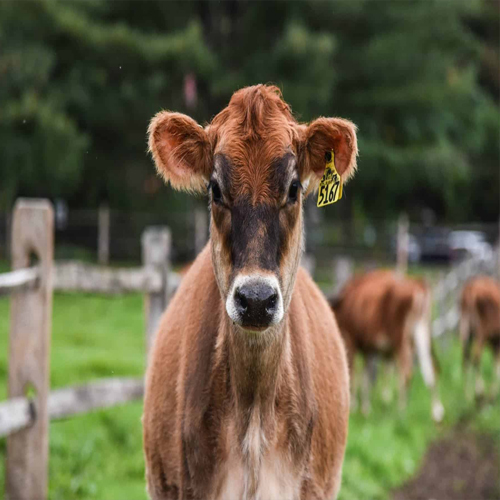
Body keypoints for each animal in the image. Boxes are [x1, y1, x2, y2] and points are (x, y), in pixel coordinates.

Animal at [330, 270, 444, 422]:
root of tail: (417, 283)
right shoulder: (373, 349)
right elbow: (371, 375)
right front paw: (370, 406)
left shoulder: (351, 339)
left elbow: (354, 373)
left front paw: (355, 406)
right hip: (421, 332)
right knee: (430, 370)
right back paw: (437, 412)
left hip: (400, 339)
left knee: (406, 372)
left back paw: (401, 412)